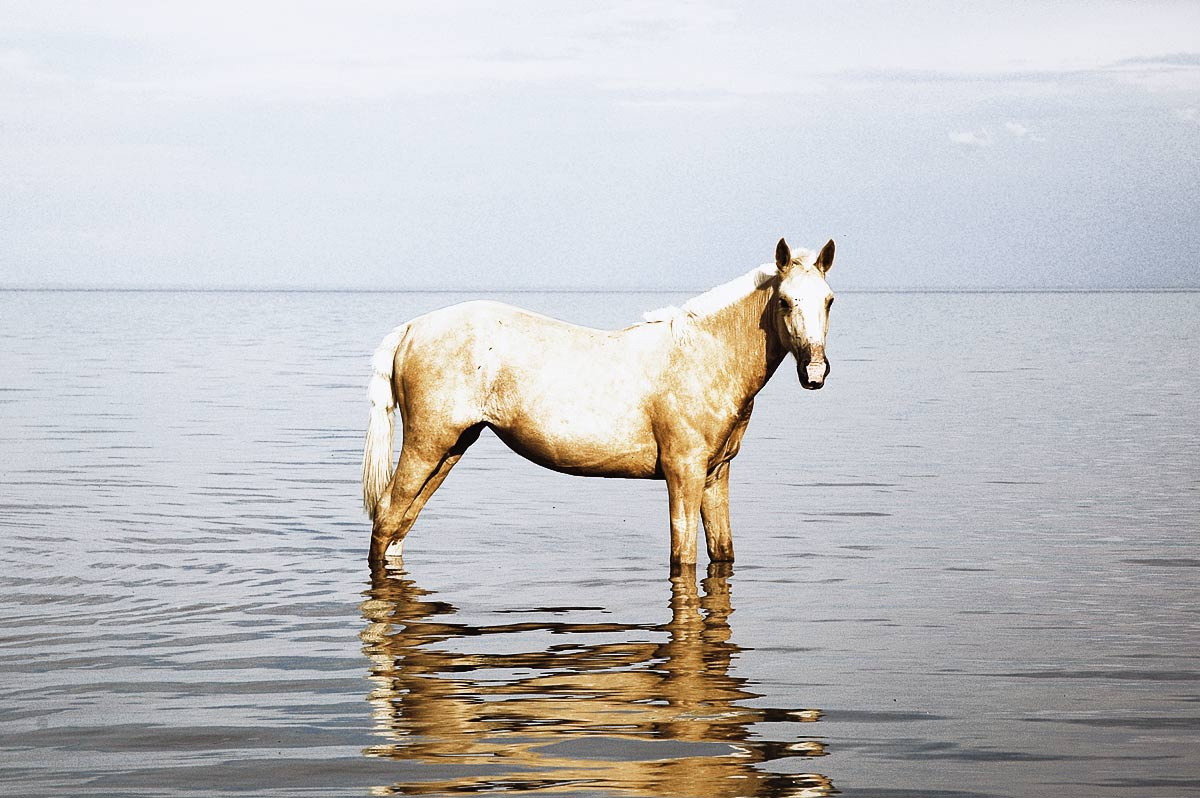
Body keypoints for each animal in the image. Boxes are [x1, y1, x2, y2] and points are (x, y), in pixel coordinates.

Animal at [362, 237, 836, 568]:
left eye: (829, 301)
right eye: (785, 301)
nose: (814, 373)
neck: (704, 355)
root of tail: (411, 328)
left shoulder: (715, 475)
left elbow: (723, 552)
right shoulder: (683, 473)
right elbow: (682, 557)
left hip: (451, 448)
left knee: (402, 525)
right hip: (426, 444)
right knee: (386, 517)